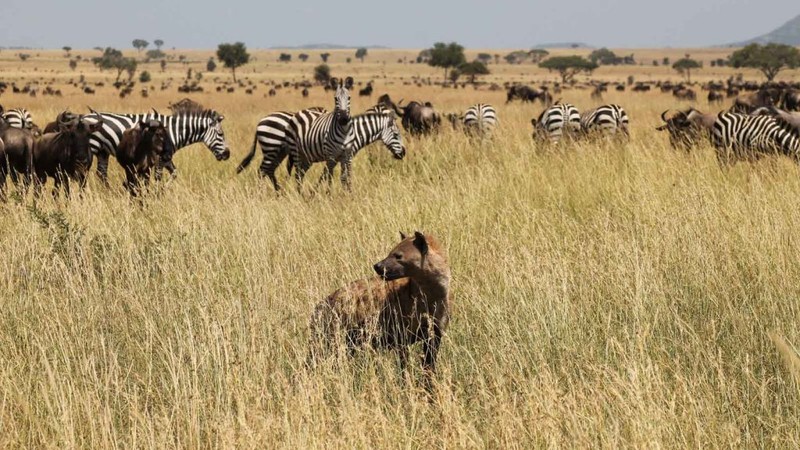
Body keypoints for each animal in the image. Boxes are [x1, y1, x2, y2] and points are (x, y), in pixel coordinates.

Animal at [88, 108, 231, 182]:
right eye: (220, 134)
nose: (228, 154)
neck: (174, 132)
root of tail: (84, 116)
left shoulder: (167, 157)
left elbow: (174, 173)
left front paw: (164, 190)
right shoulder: (160, 158)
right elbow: (158, 177)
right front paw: (158, 195)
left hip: (102, 152)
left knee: (101, 174)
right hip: (92, 147)